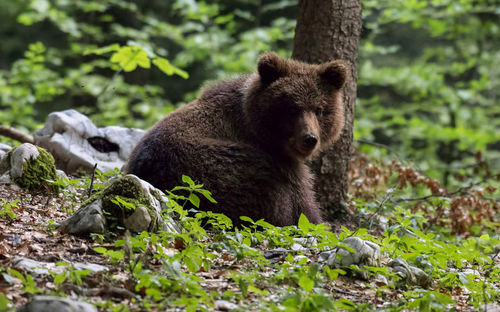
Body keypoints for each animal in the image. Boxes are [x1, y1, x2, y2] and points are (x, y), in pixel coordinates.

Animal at [125, 51, 346, 227]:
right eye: (292, 108)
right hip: (218, 170)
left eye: (319, 109)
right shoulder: (279, 163)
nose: (309, 138)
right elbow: (303, 208)